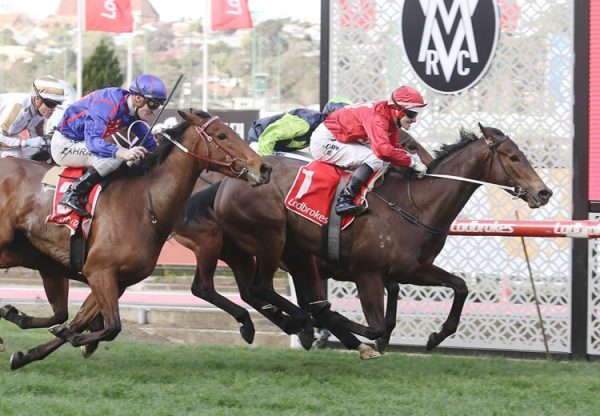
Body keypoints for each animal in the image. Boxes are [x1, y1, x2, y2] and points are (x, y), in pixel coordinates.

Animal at [1, 109, 270, 368]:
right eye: (222, 135)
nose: (263, 168)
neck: (143, 205)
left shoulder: (116, 280)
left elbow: (80, 322)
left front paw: (26, 351)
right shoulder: (99, 272)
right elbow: (110, 327)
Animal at [186, 123, 552, 354]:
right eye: (514, 157)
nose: (544, 192)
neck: (415, 204)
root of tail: (226, 182)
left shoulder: (413, 269)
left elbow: (460, 286)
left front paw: (436, 336)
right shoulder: (368, 274)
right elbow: (375, 326)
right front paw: (350, 331)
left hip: (277, 254)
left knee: (254, 291)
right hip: (270, 241)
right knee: (261, 289)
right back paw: (309, 324)